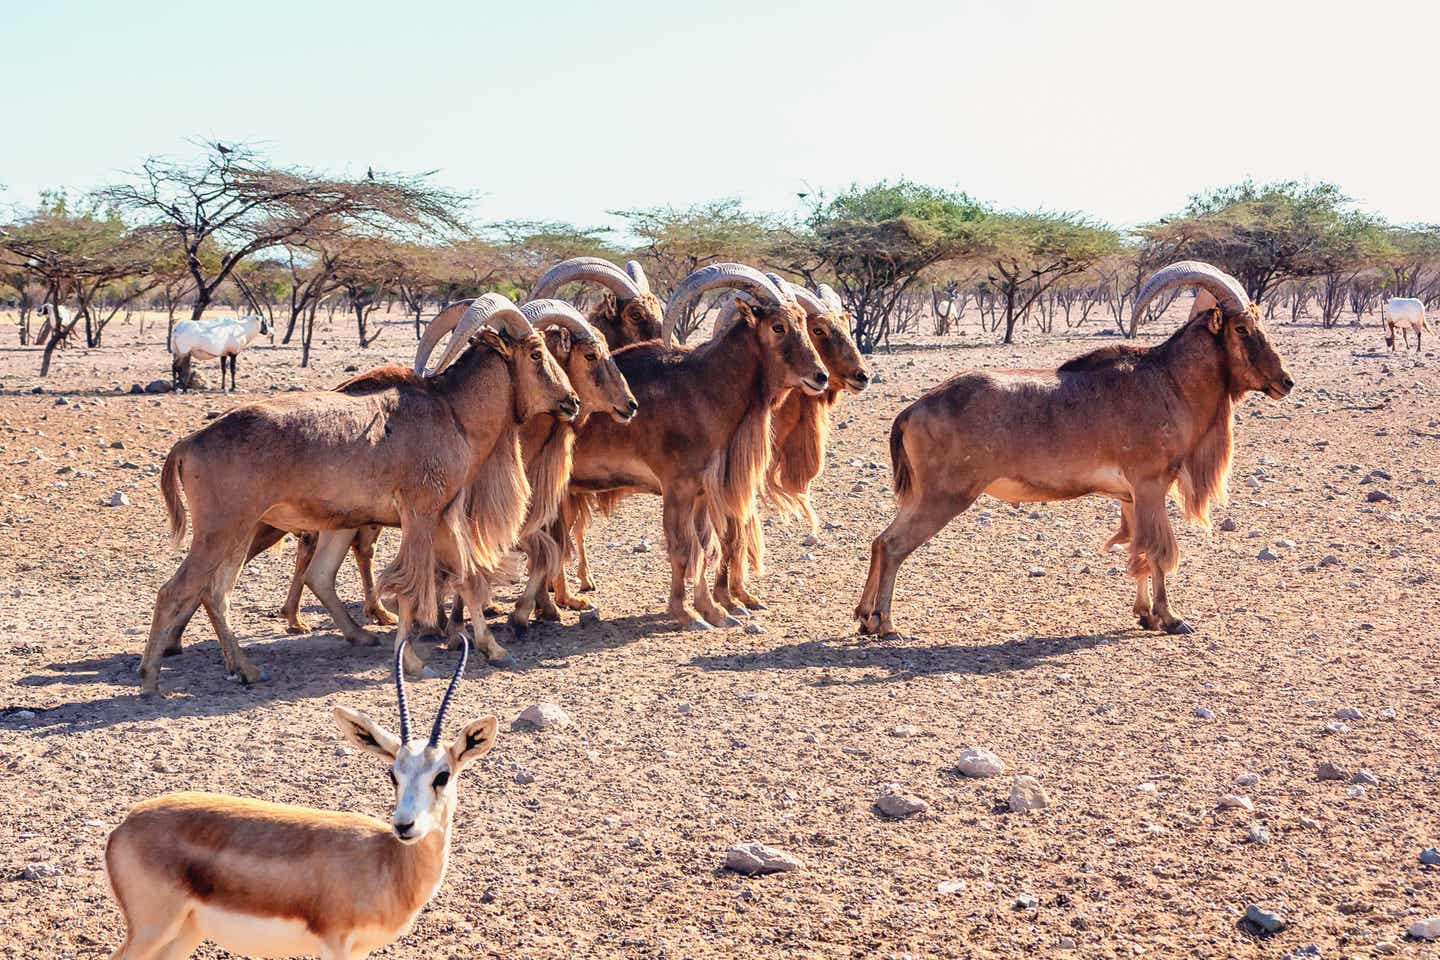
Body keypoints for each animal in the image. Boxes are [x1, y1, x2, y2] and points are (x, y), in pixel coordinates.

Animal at [102, 639, 495, 960]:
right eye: (392, 773)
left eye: (442, 775)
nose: (404, 825)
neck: (387, 862)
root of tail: (125, 824)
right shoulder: (336, 945)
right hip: (153, 929)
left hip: (183, 934)